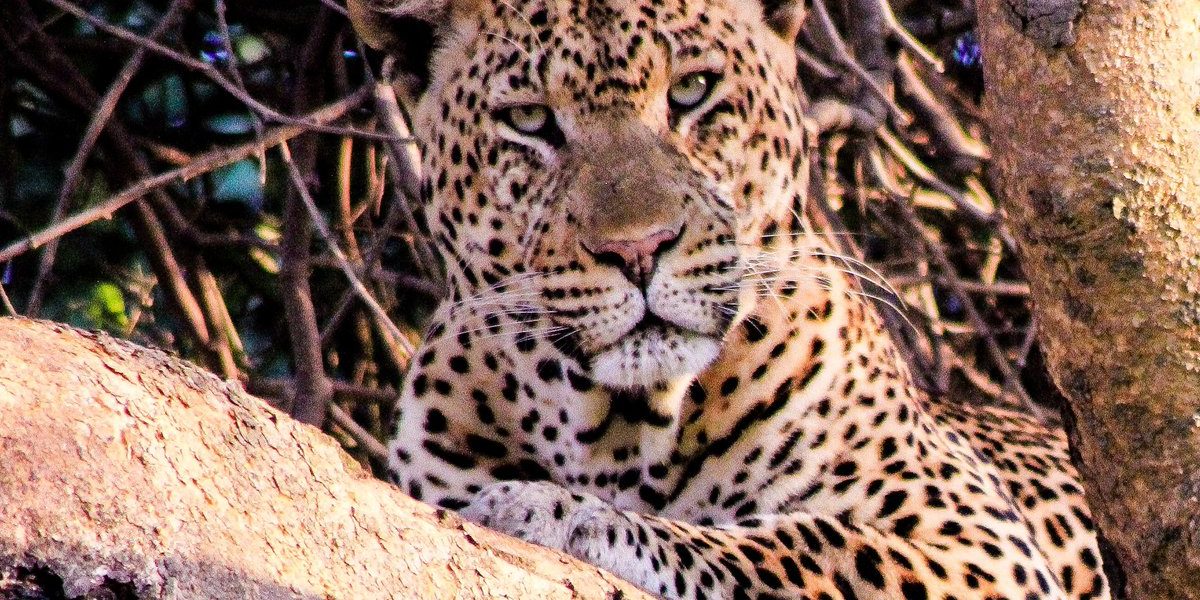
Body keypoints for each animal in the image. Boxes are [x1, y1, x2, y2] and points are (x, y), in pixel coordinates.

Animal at [350, 1, 1113, 600]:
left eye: (692, 91)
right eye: (531, 120)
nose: (639, 248)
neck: (621, 432)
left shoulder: (973, 537)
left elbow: (798, 542)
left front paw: (554, 513)